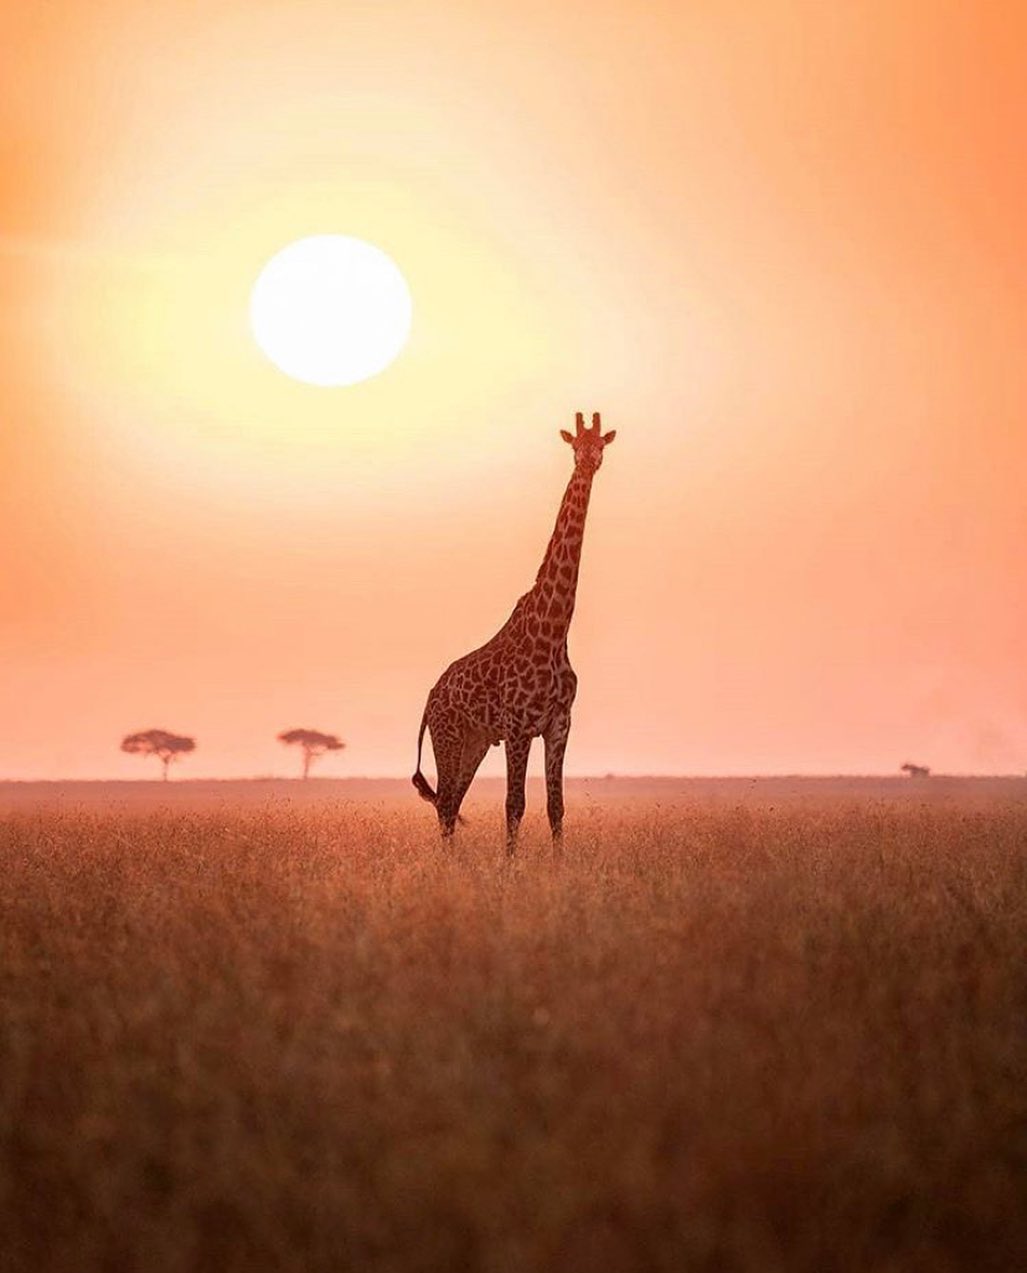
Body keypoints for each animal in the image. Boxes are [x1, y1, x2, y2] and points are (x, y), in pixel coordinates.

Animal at [412, 411, 616, 851]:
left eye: (601, 445)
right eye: (575, 445)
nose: (588, 463)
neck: (554, 631)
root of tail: (430, 699)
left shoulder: (559, 724)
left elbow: (556, 806)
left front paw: (558, 863)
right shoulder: (518, 726)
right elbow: (514, 804)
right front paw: (509, 864)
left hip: (474, 742)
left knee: (451, 802)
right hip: (448, 736)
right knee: (445, 804)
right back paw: (448, 862)